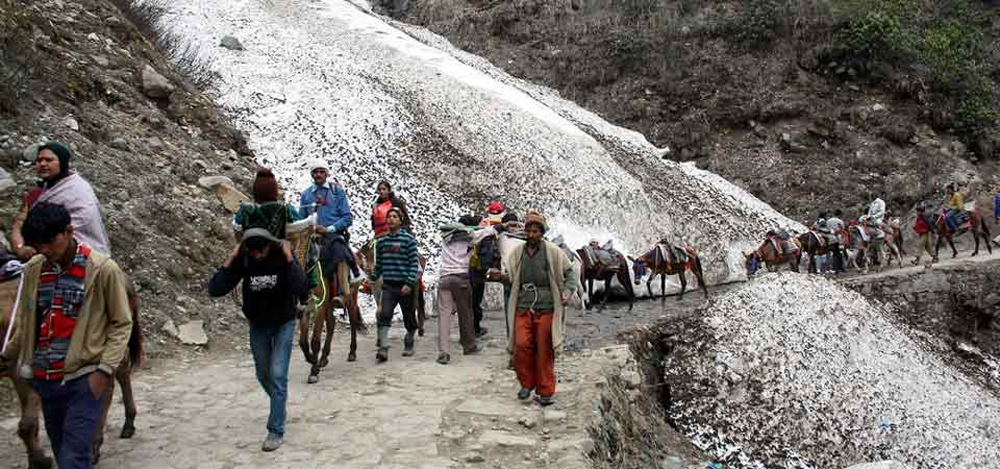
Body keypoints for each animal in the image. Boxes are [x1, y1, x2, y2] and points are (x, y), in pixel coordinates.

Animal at [294, 229, 366, 382]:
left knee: (352, 321)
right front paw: (311, 359)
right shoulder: (306, 309)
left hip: (351, 297)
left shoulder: (319, 308)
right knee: (332, 323)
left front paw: (313, 371)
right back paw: (323, 358)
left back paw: (352, 352)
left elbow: (315, 341)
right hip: (329, 304)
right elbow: (303, 342)